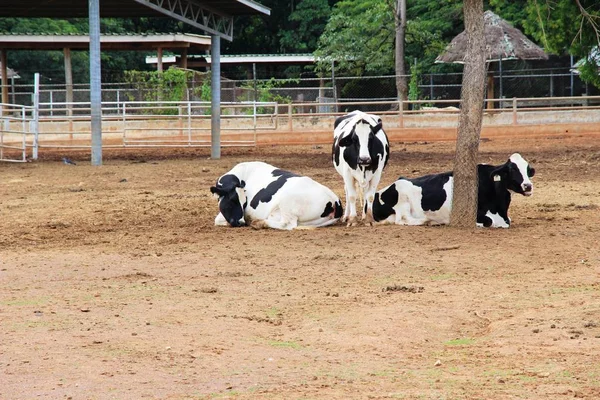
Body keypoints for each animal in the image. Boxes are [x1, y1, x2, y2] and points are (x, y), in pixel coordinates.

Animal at [211, 161, 342, 230]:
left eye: (244, 203)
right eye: (232, 200)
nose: (241, 222)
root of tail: (335, 200)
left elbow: (217, 220)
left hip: (287, 201)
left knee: (287, 224)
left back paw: (258, 223)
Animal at [372, 153, 536, 228]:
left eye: (528, 170)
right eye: (511, 169)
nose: (528, 186)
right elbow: (488, 221)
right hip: (402, 197)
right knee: (402, 219)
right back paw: (428, 221)